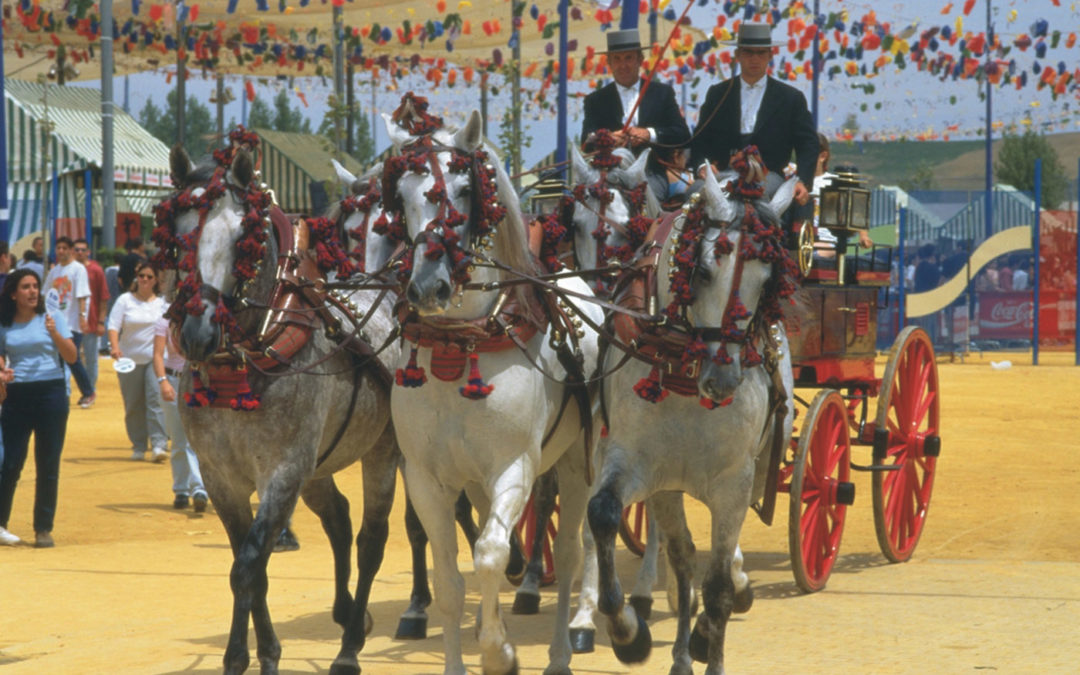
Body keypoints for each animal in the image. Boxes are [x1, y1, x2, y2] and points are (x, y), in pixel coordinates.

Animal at [375, 96, 604, 673]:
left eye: (462, 190)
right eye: (400, 197)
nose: (428, 286)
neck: (461, 342)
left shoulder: (513, 466)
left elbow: (490, 555)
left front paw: (499, 652)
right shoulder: (426, 479)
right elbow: (450, 582)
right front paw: (471, 648)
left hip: (579, 459)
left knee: (572, 548)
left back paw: (566, 645)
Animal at [587, 158, 799, 673]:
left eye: (768, 280)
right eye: (701, 271)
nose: (723, 379)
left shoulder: (735, 479)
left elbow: (719, 584)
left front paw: (713, 640)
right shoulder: (636, 463)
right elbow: (603, 513)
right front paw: (627, 634)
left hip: (757, 463)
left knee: (717, 565)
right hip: (668, 484)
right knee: (682, 557)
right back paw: (682, 652)